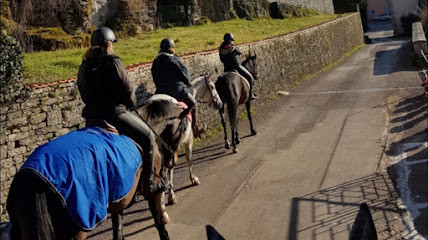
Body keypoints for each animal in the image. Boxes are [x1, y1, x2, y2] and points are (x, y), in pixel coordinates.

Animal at [5, 98, 185, 239]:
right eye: (183, 128)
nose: (173, 160)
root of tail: (31, 176)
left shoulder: (118, 202)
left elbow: (118, 234)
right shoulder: (151, 193)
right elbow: (161, 226)